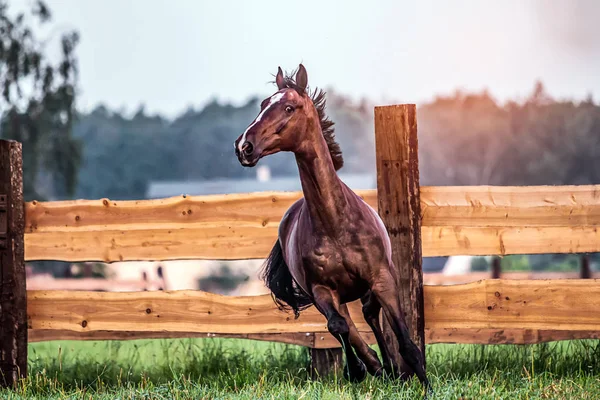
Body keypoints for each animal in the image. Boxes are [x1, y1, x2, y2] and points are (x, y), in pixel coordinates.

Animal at [234, 63, 432, 390]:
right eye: (262, 105)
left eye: (288, 107)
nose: (243, 146)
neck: (335, 225)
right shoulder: (322, 290)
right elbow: (338, 327)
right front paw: (357, 370)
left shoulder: (382, 279)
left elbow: (406, 341)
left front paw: (424, 385)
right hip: (331, 297)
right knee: (350, 325)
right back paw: (376, 368)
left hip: (368, 288)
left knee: (369, 315)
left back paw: (391, 369)